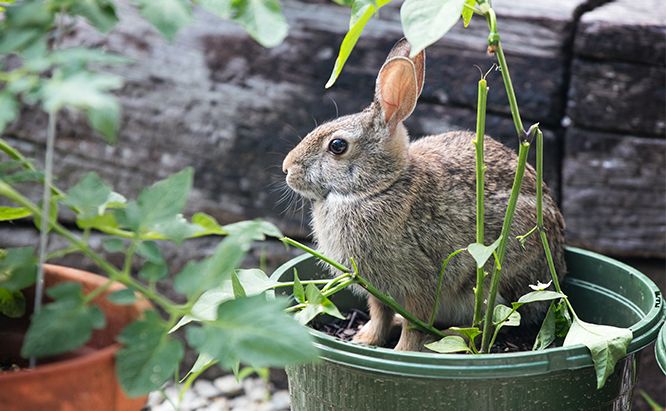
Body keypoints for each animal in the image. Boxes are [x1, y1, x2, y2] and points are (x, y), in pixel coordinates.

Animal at [280, 38, 564, 352]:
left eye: (337, 146)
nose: (287, 168)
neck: (380, 186)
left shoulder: (421, 281)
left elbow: (414, 323)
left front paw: (402, 351)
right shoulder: (377, 287)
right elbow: (379, 313)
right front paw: (365, 340)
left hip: (497, 279)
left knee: (491, 323)